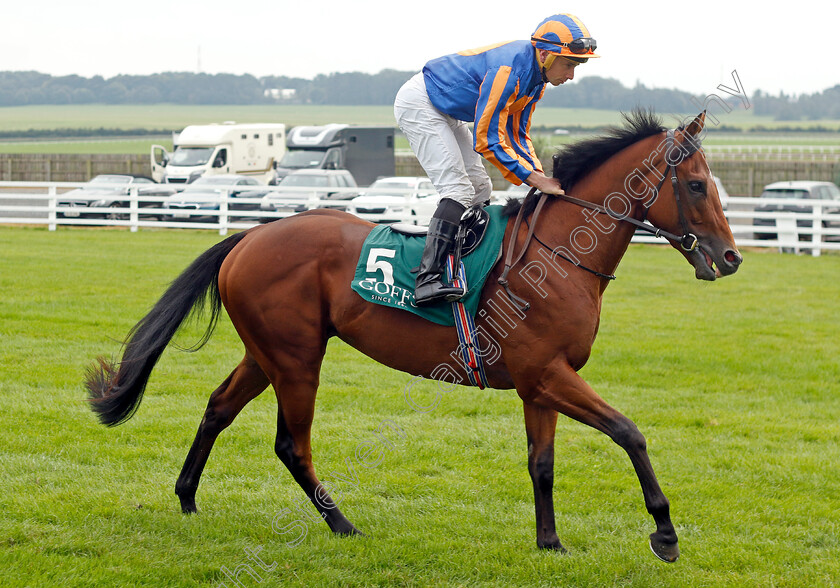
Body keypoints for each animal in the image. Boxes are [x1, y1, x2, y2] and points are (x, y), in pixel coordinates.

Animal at [85, 108, 740, 564]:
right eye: (698, 185)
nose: (730, 257)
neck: (555, 256)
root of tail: (248, 237)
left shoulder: (539, 385)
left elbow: (543, 464)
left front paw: (550, 542)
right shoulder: (548, 373)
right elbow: (630, 433)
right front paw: (665, 532)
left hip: (265, 352)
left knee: (218, 408)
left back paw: (187, 496)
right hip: (296, 359)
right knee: (292, 445)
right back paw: (343, 524)